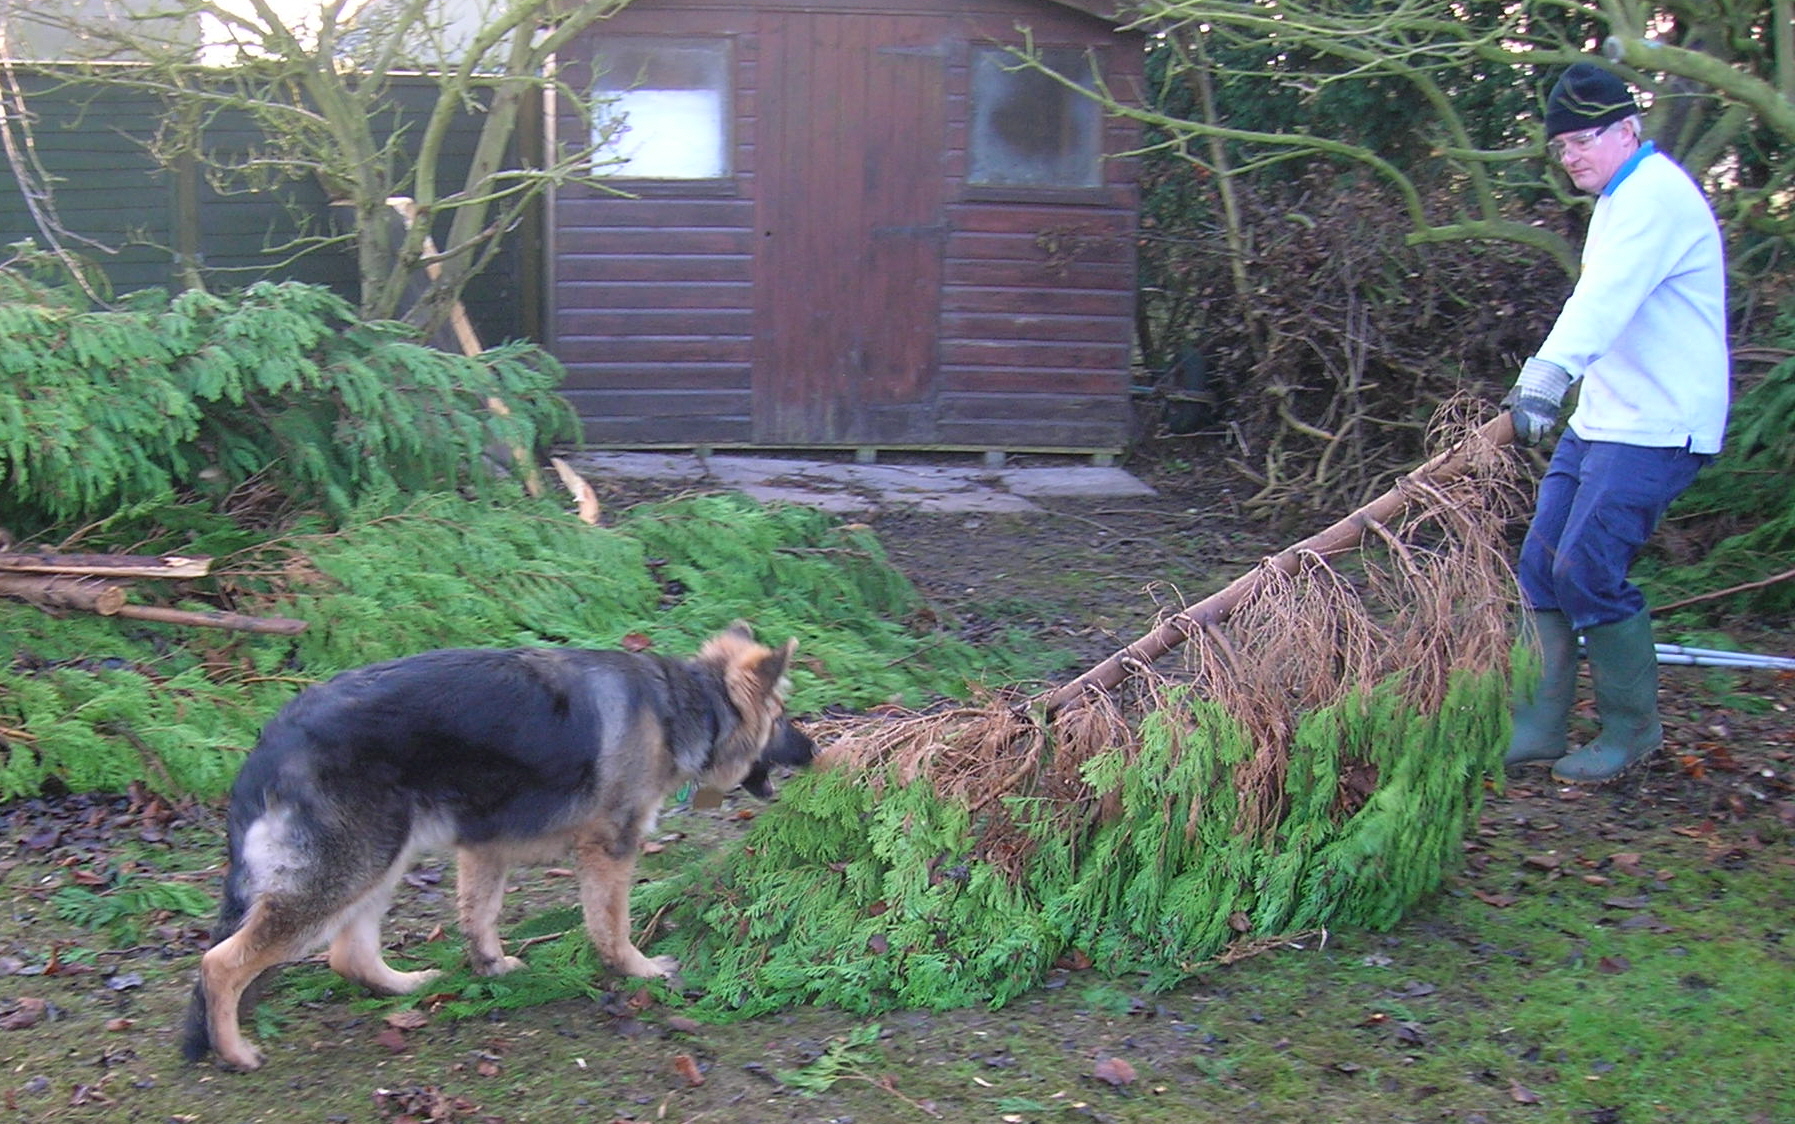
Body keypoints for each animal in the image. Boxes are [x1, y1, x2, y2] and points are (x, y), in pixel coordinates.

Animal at [182, 621, 814, 1070]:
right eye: (783, 717)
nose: (812, 751)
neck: (688, 702)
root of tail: (272, 739)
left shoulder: (484, 846)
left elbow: (480, 914)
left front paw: (490, 967)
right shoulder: (609, 848)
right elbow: (611, 923)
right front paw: (637, 970)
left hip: (380, 861)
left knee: (348, 955)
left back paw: (406, 985)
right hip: (345, 873)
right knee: (220, 963)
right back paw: (234, 1053)